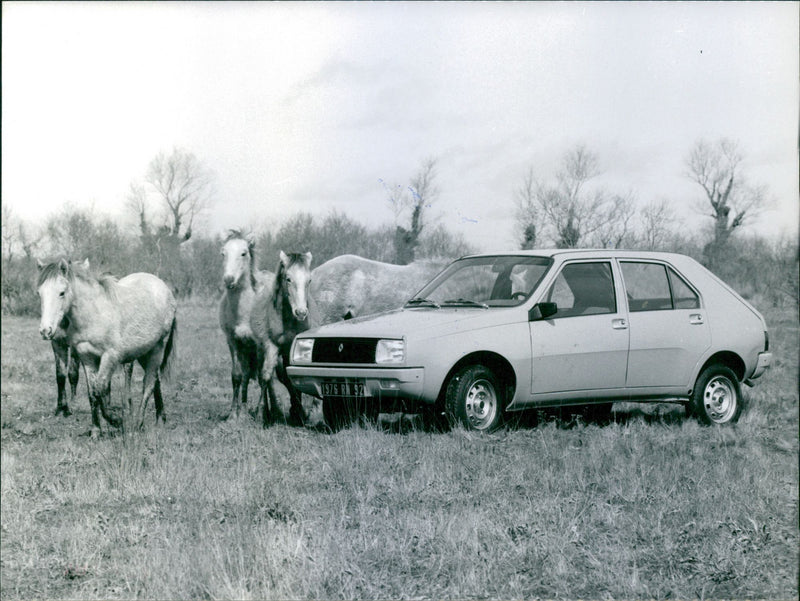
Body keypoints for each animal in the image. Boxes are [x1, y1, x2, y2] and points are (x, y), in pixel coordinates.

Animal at [37, 256, 177, 432]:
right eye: (39, 293)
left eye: (61, 293)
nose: (45, 330)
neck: (94, 313)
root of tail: (164, 288)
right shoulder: (86, 357)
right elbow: (92, 392)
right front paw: (96, 430)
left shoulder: (110, 356)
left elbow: (101, 388)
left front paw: (116, 420)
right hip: (144, 352)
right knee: (155, 380)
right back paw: (160, 417)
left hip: (157, 349)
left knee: (148, 383)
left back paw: (138, 423)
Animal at [217, 230, 276, 418]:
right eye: (223, 254)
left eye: (243, 253)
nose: (229, 280)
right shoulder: (233, 341)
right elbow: (237, 375)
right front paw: (233, 413)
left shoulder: (260, 343)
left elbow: (262, 377)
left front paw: (261, 412)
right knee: (246, 374)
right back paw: (243, 407)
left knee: (267, 379)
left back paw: (271, 409)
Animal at [250, 251, 316, 424]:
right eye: (288, 279)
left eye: (309, 280)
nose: (301, 312)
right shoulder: (271, 346)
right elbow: (266, 376)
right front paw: (261, 414)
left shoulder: (292, 349)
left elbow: (292, 378)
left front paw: (299, 413)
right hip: (261, 350)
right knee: (264, 377)